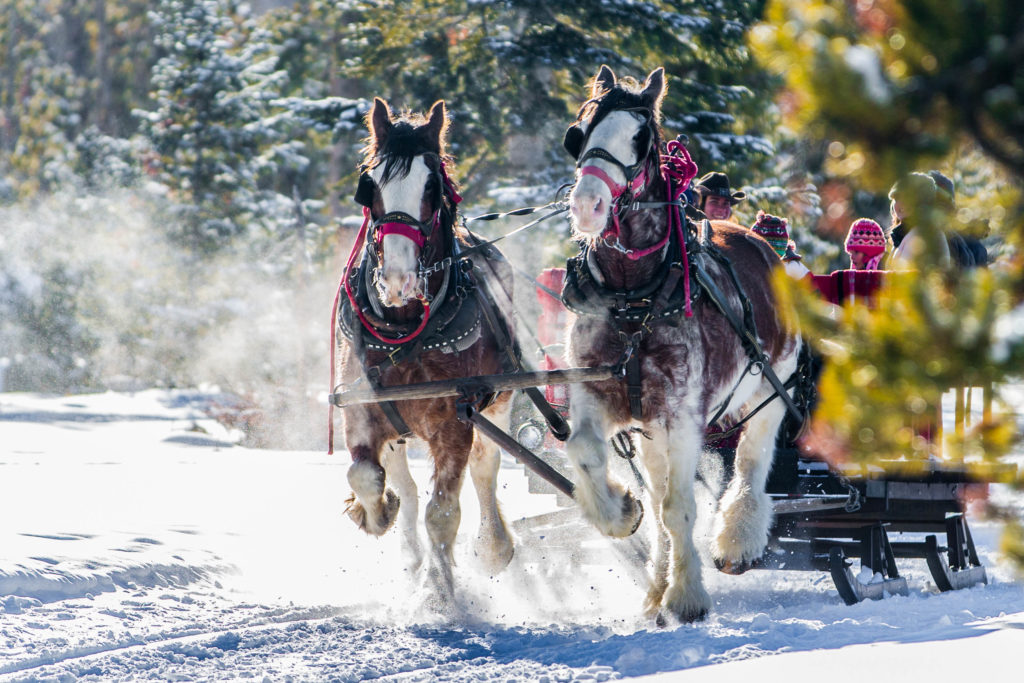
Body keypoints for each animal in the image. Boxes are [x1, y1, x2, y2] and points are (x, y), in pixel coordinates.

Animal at [331, 98, 516, 602]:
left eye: (432, 187)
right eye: (370, 186)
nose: (397, 279)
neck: (404, 334)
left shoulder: (456, 423)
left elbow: (444, 512)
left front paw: (439, 594)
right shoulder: (362, 412)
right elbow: (367, 477)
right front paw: (376, 513)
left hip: (501, 401)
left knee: (486, 468)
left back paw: (491, 547)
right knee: (406, 483)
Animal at [561, 68, 798, 626]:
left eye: (641, 139)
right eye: (578, 132)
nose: (586, 204)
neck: (634, 298)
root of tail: (761, 244)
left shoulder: (684, 415)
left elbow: (679, 508)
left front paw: (688, 595)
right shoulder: (597, 395)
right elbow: (587, 453)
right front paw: (620, 512)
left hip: (770, 390)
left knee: (751, 462)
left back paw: (736, 540)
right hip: (650, 429)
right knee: (660, 488)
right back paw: (655, 585)